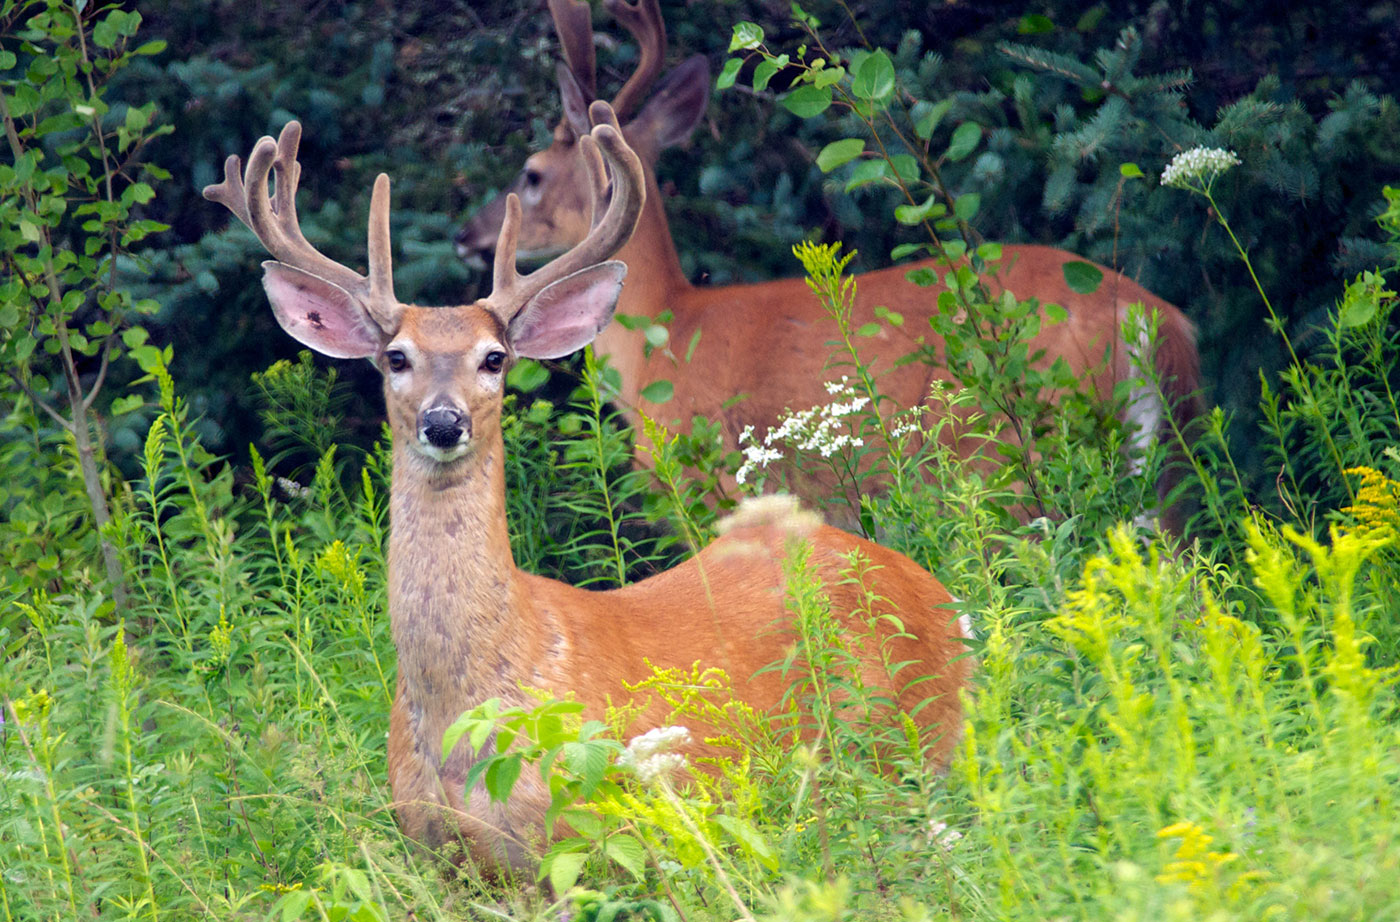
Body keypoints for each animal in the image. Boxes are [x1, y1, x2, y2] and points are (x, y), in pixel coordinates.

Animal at [207, 106, 968, 873]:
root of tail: (935, 593)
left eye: (495, 358)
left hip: (914, 747)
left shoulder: (591, 836)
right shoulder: (434, 854)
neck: (466, 713)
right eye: (395, 357)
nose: (444, 422)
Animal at [456, 0, 1204, 534]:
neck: (660, 335)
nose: (467, 234)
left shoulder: (714, 487)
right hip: (1165, 465)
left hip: (1006, 459)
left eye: (532, 173)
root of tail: (1149, 320)